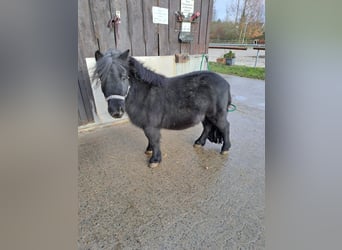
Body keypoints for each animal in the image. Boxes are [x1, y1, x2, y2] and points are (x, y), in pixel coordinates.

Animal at [94, 48, 232, 168]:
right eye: (101, 78)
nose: (116, 111)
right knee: (207, 127)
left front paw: (154, 160)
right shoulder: (148, 126)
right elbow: (150, 140)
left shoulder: (151, 127)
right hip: (205, 115)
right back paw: (199, 143)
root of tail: (225, 83)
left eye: (124, 76)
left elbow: (154, 140)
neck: (144, 95)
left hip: (217, 115)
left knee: (225, 127)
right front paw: (149, 150)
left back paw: (225, 149)